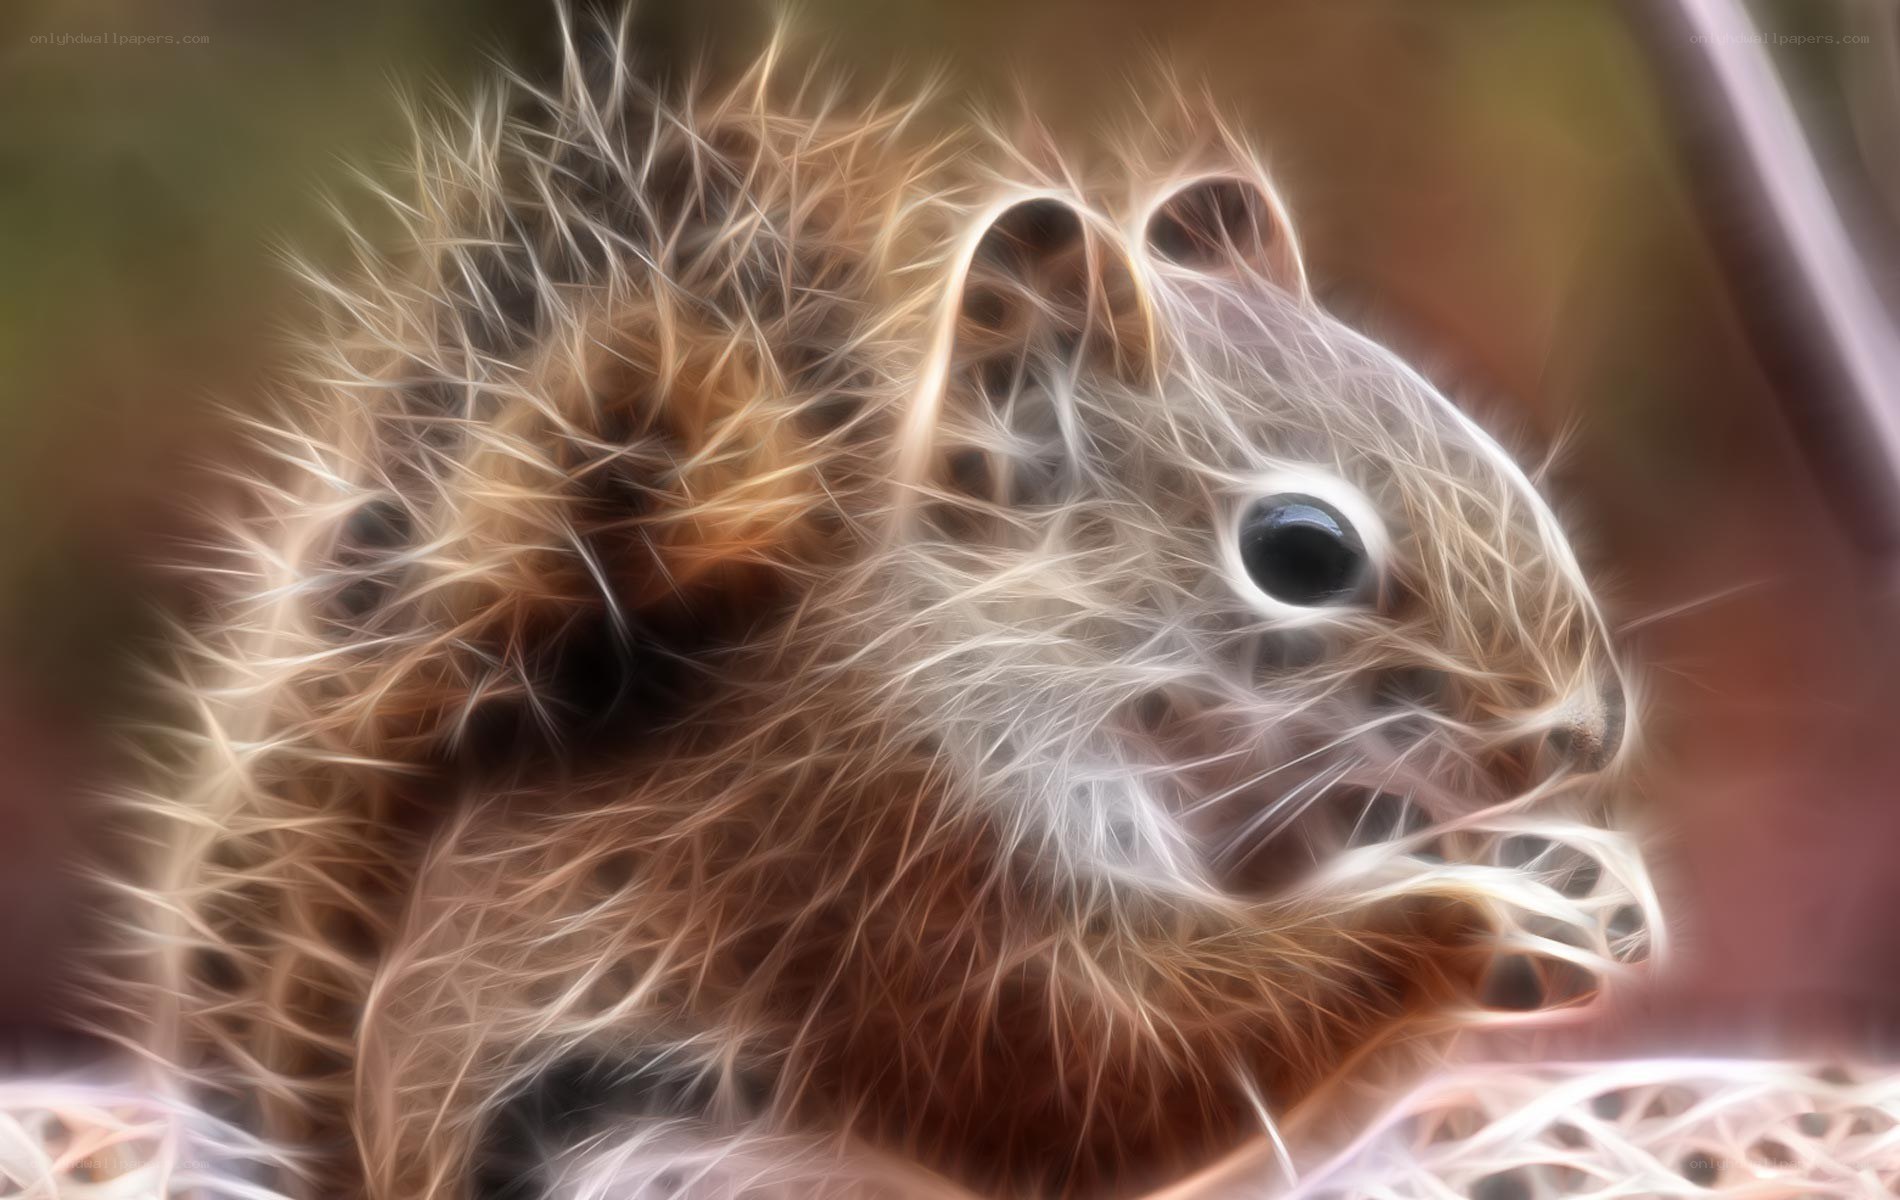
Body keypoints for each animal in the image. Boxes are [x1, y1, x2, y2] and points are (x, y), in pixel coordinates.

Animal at [100, 12, 1645, 1200]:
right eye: (1301, 551)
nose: (1574, 737)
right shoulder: (882, 854)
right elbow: (1088, 1063)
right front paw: (1473, 915)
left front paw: (1574, 873)